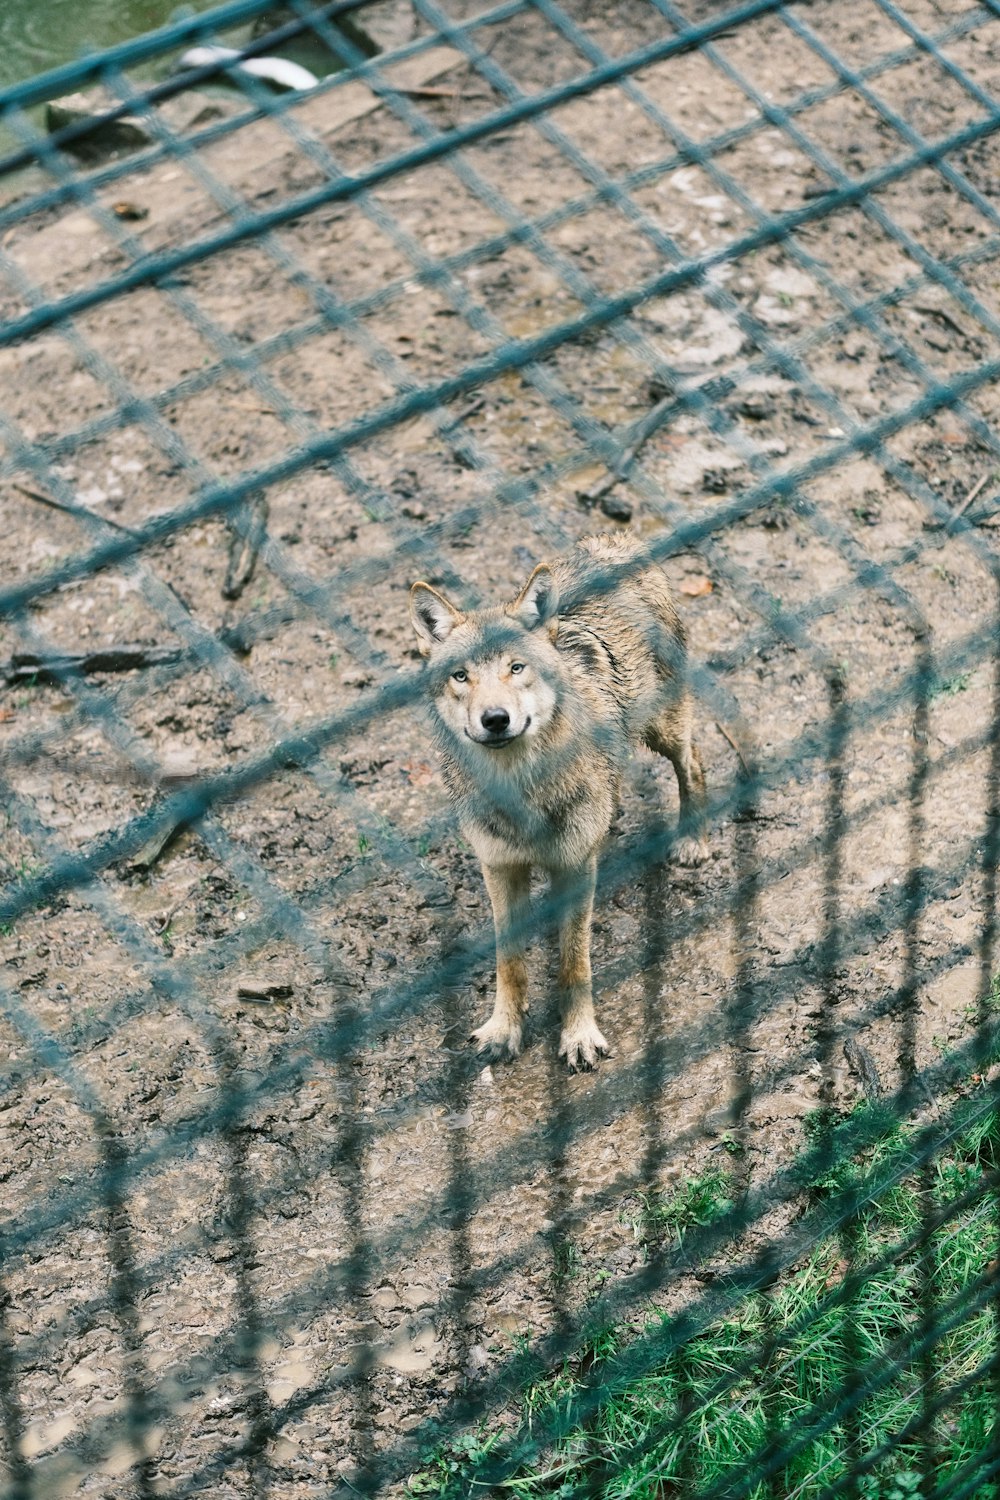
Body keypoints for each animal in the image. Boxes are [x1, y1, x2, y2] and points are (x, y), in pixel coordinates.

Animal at [410, 534, 707, 1074]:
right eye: (461, 676)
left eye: (516, 668)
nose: (495, 719)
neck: (521, 789)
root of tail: (614, 543)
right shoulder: (499, 867)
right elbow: (509, 961)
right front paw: (504, 1030)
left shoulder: (577, 864)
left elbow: (575, 962)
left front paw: (579, 1036)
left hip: (665, 729)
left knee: (694, 764)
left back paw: (693, 840)